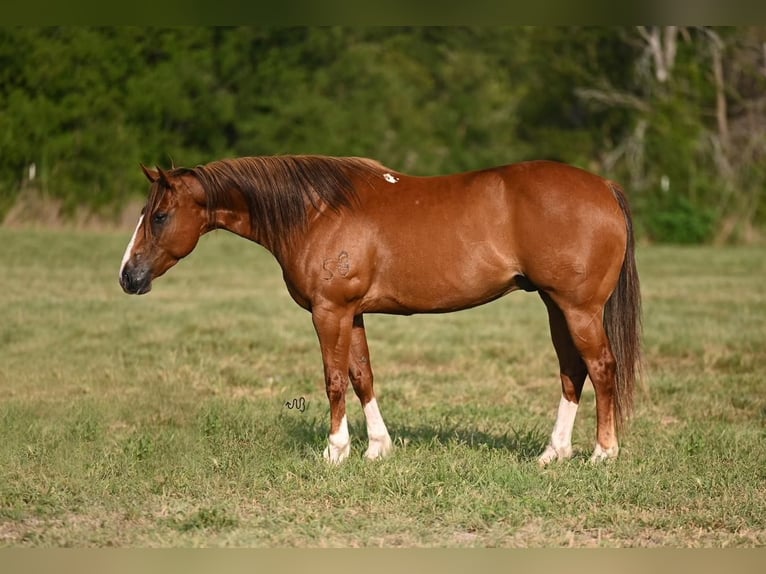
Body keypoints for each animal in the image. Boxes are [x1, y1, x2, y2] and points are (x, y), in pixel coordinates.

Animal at [118, 154, 640, 468]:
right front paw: (377, 448)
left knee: (601, 367)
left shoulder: (329, 312)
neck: (318, 211)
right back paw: (554, 452)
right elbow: (362, 376)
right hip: (556, 306)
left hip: (578, 309)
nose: (128, 277)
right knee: (573, 371)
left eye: (159, 216)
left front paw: (335, 450)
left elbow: (333, 379)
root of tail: (603, 187)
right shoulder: (352, 313)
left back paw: (603, 454)